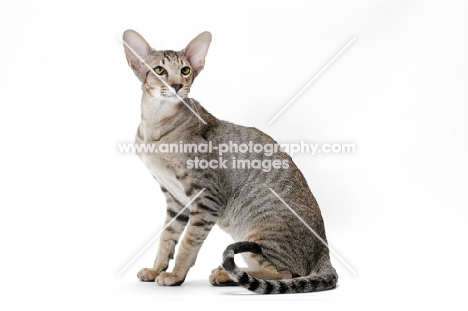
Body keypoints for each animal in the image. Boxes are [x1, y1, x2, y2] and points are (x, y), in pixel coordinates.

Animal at [122, 29, 338, 294]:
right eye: (159, 70)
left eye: (185, 70)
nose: (177, 85)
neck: (154, 125)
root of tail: (325, 251)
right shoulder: (175, 200)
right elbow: (167, 237)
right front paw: (156, 269)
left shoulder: (206, 197)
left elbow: (188, 243)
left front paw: (175, 275)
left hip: (260, 232)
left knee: (286, 273)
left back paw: (225, 274)